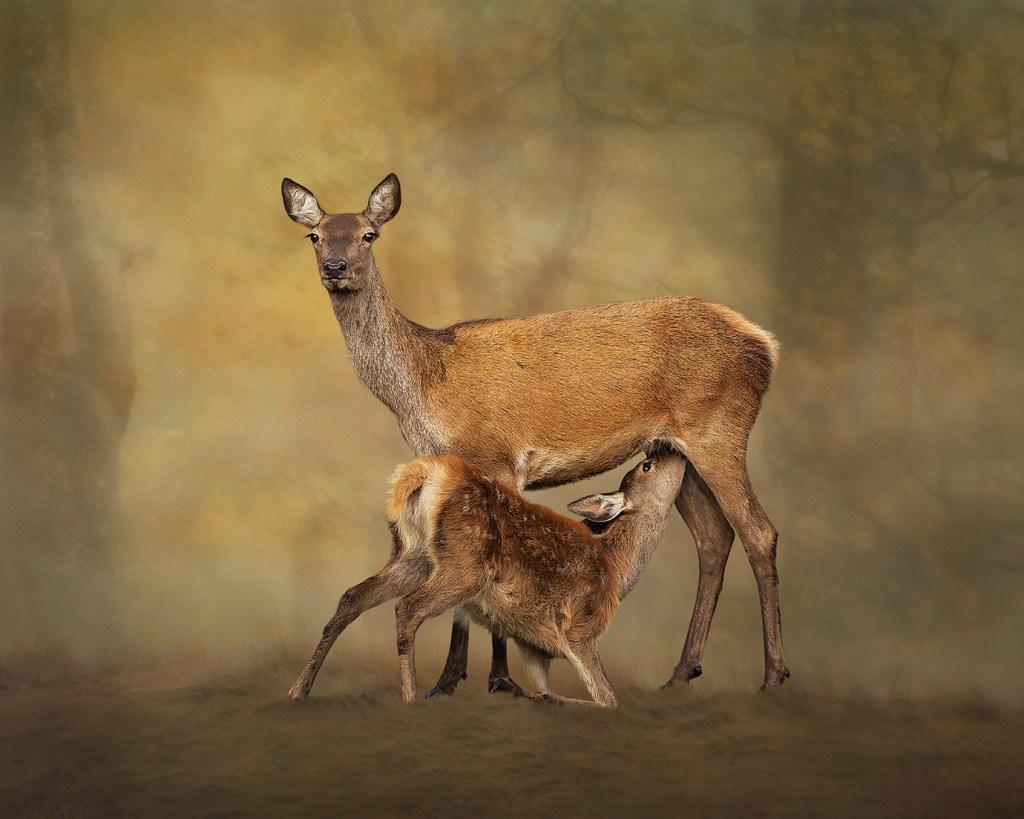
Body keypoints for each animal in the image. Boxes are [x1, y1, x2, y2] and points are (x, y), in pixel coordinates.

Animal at [289, 450, 688, 706]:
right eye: (648, 465)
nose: (675, 451)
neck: (616, 569)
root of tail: (425, 474)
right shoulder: (579, 627)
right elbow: (608, 699)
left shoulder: (533, 645)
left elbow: (549, 690)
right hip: (465, 565)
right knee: (408, 608)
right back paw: (410, 699)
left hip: (412, 555)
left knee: (352, 596)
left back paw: (299, 690)